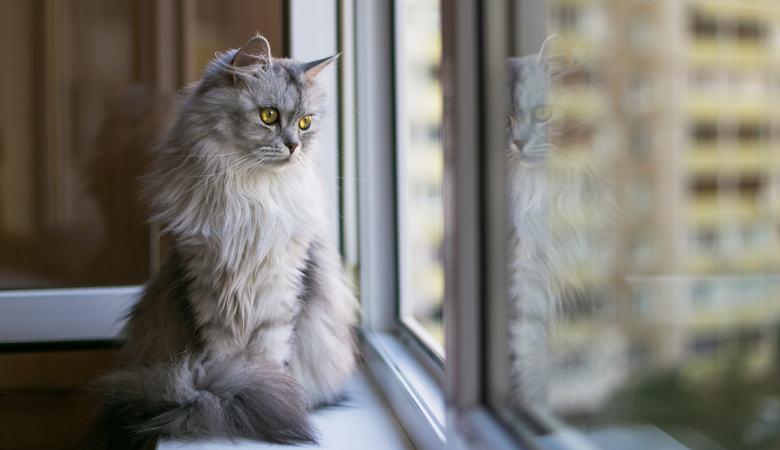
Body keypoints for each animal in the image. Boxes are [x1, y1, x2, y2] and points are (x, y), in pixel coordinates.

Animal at [87, 36, 360, 450]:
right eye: (268, 116)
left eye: (305, 123)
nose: (293, 146)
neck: (249, 193)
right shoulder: (207, 287)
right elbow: (226, 359)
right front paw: (240, 394)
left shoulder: (280, 289)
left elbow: (269, 357)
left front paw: (268, 394)